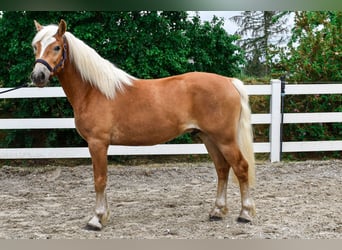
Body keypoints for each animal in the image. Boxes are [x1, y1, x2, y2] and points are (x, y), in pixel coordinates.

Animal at [31, 19, 256, 230]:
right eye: (36, 46)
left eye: (56, 47)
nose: (37, 76)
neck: (94, 91)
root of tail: (229, 81)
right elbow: (101, 179)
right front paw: (104, 215)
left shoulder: (97, 143)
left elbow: (100, 179)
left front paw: (96, 219)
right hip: (209, 138)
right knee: (222, 169)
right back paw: (217, 211)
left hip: (225, 139)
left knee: (241, 167)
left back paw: (245, 214)